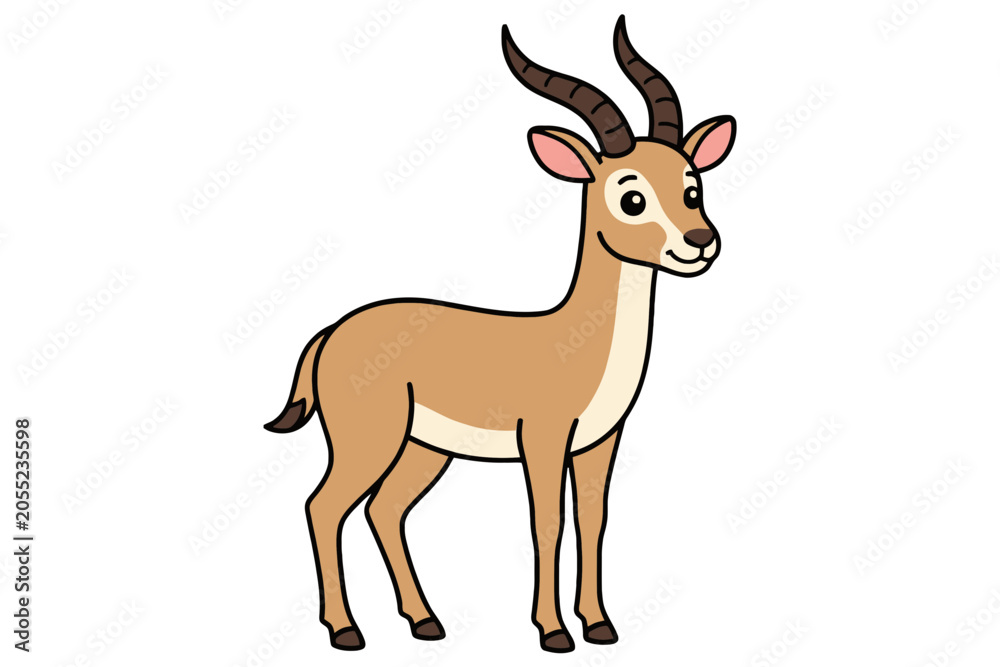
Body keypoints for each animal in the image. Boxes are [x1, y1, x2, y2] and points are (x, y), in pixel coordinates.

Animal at [265, 16, 737, 653]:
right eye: (631, 194)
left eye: (692, 186)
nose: (700, 242)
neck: (576, 341)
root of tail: (332, 332)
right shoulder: (542, 439)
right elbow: (547, 522)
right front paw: (553, 631)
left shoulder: (599, 442)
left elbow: (594, 520)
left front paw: (600, 625)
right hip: (368, 441)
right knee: (323, 506)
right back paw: (346, 631)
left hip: (423, 449)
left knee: (383, 511)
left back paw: (426, 622)